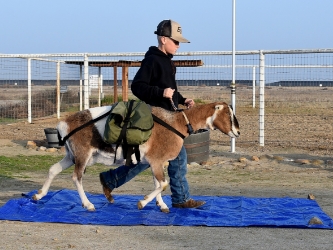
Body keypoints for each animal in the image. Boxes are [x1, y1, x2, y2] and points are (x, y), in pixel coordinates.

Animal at [32, 101, 237, 213]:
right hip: (83, 155)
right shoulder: (156, 160)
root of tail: (63, 125)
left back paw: (38, 195)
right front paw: (142, 203)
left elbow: (158, 183)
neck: (176, 123)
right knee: (77, 177)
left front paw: (162, 205)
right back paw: (88, 204)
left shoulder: (155, 162)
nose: (238, 132)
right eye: (228, 114)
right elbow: (163, 184)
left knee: (53, 169)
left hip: (71, 155)